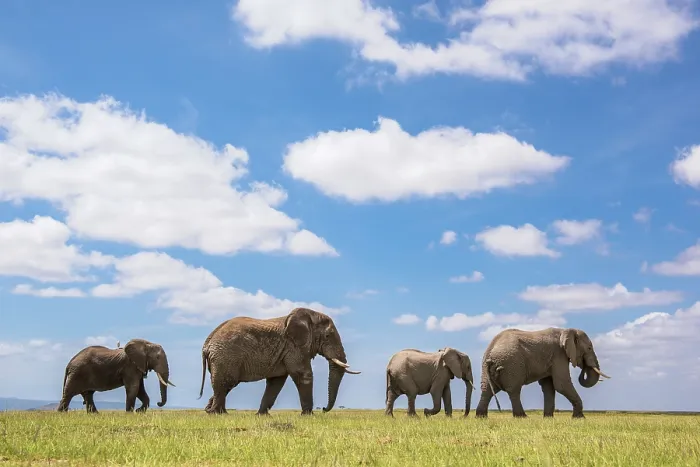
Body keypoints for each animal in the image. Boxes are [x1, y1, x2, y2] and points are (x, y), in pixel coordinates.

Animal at [198, 307, 361, 416]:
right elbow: (303, 375)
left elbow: (276, 382)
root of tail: (207, 343)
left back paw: (211, 412)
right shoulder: (294, 347)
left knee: (225, 385)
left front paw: (262, 416)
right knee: (226, 383)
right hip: (225, 356)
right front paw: (308, 416)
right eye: (327, 336)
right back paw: (218, 414)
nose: (323, 409)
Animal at [475, 327, 610, 419]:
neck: (565, 331)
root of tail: (491, 349)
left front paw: (548, 418)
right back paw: (522, 417)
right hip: (512, 364)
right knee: (514, 390)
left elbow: (549, 386)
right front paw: (579, 418)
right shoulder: (558, 355)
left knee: (487, 390)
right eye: (589, 348)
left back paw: (481, 417)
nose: (583, 366)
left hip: (488, 367)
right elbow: (562, 384)